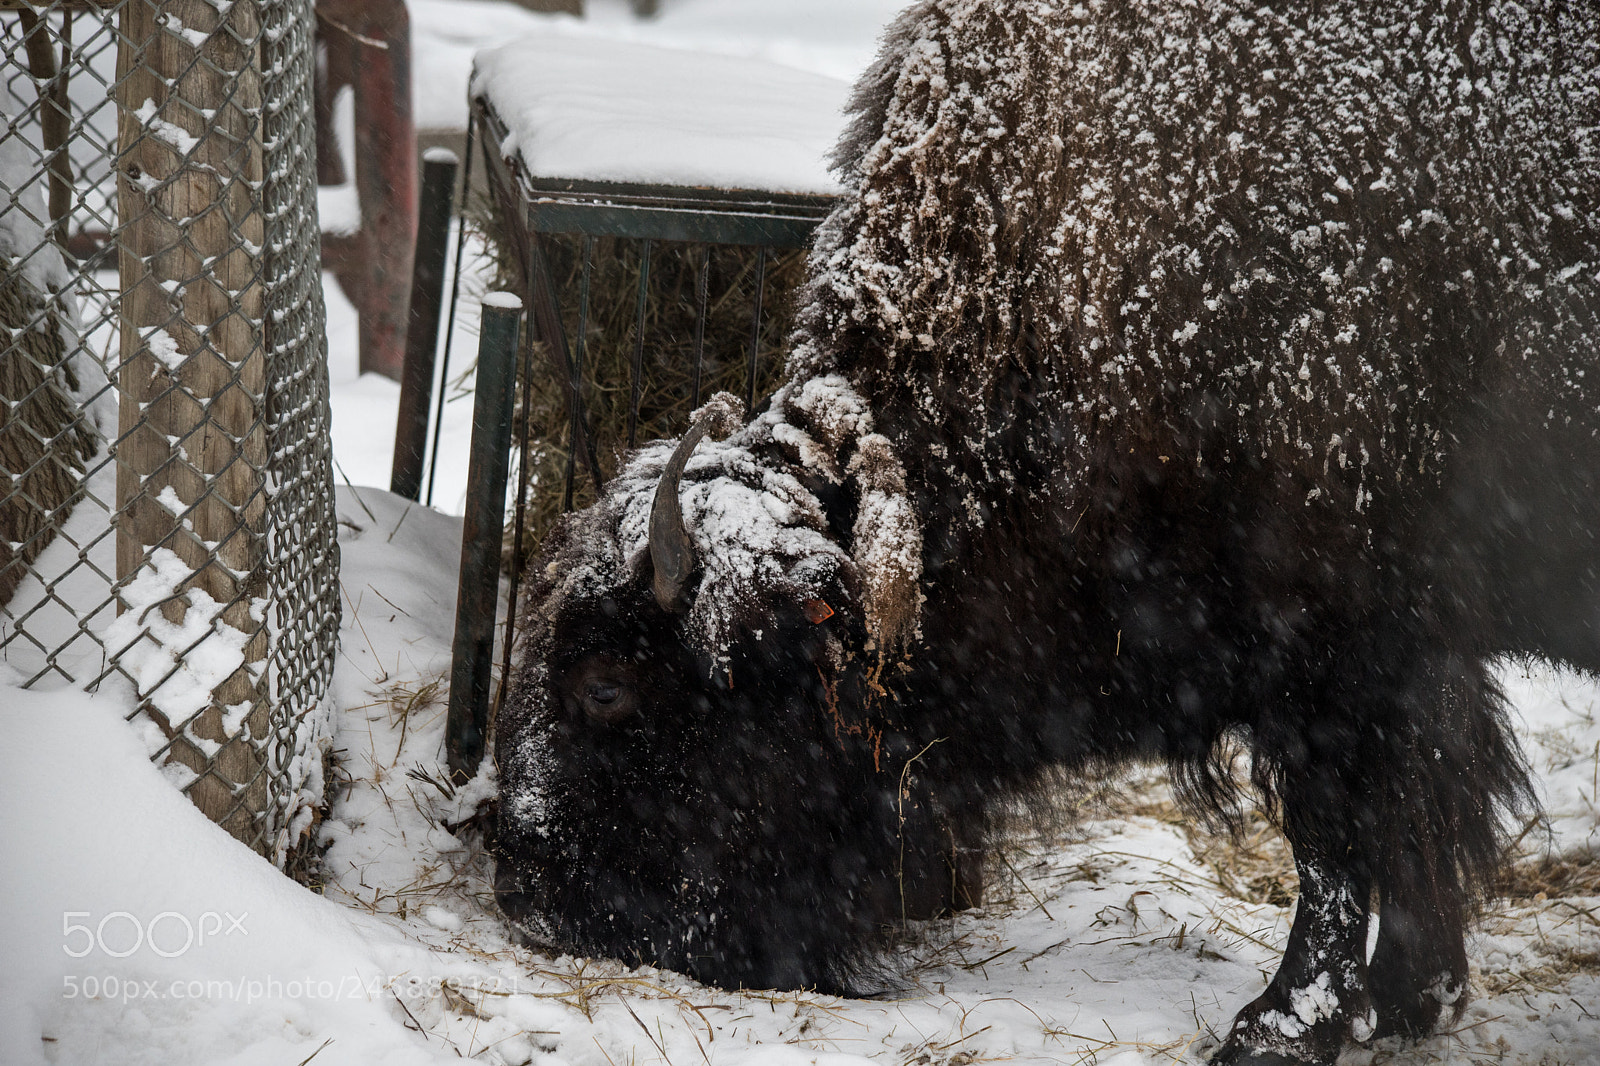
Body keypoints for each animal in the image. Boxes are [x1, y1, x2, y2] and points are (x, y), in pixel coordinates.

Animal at [492, 1, 1600, 1063]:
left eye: (606, 685)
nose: (526, 885)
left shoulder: (1334, 644)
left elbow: (1340, 838)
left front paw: (1274, 1029)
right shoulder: (1416, 650)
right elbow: (1425, 813)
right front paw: (1414, 999)